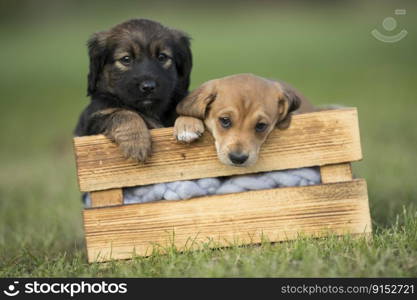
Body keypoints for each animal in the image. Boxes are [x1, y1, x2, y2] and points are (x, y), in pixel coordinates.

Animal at [75, 18, 192, 162]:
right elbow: (123, 113)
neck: (151, 111)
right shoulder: (93, 121)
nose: (148, 87)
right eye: (126, 59)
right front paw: (136, 142)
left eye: (162, 57)